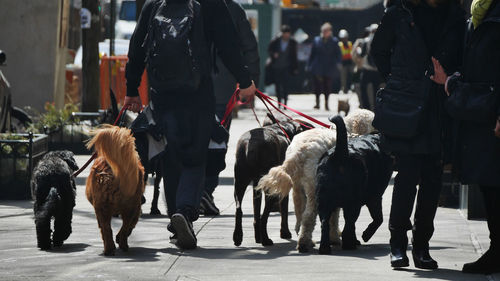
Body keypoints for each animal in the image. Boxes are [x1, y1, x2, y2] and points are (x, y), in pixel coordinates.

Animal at [85, 124, 145, 254]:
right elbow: (128, 226)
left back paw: (110, 249)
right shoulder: (136, 208)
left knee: (108, 229)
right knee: (122, 227)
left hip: (104, 208)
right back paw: (120, 246)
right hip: (128, 207)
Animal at [260, 107, 374, 252]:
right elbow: (333, 217)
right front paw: (335, 238)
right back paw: (304, 243)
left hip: (298, 188)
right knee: (309, 215)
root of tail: (299, 152)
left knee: (300, 214)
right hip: (313, 188)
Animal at [316, 116, 394, 254]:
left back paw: (325, 247)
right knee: (349, 223)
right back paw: (349, 244)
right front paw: (366, 235)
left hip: (324, 201)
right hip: (353, 203)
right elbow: (378, 218)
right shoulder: (375, 197)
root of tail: (340, 155)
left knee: (325, 223)